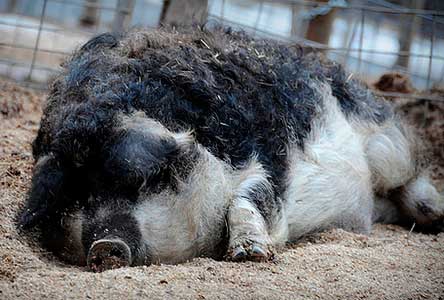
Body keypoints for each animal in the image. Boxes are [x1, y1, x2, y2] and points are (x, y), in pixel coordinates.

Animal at [18, 26, 444, 272]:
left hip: (386, 140)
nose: (103, 245)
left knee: (414, 178)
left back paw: (436, 218)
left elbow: (249, 198)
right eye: (73, 201)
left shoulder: (265, 162)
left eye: (134, 181)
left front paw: (250, 256)